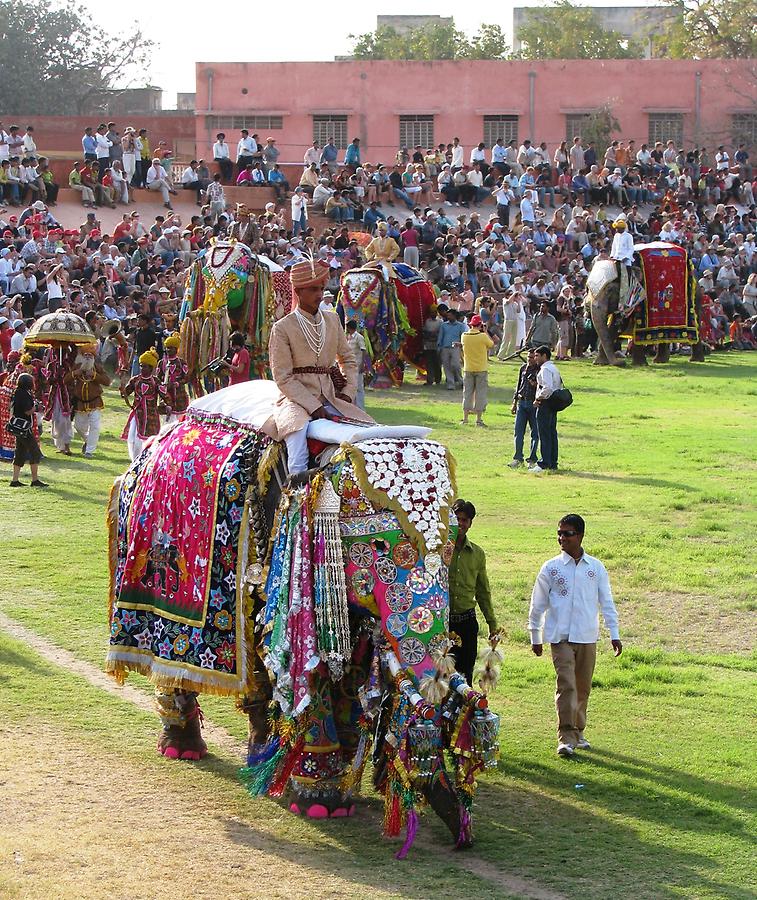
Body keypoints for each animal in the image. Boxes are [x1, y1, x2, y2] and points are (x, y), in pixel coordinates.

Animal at [105, 382, 496, 856]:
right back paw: (183, 748)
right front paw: (322, 803)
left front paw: (340, 779)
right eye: (380, 547)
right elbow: (313, 674)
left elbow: (349, 668)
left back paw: (257, 749)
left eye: (454, 545)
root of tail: (153, 440)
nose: (465, 841)